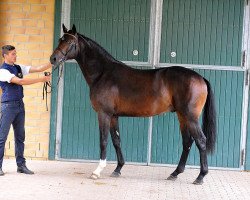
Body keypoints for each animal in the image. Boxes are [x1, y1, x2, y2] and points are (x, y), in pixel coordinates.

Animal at [49, 24, 216, 185]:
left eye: (70, 43)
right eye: (60, 40)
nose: (53, 58)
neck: (103, 73)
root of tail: (200, 77)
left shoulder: (104, 114)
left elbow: (103, 141)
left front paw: (97, 171)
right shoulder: (114, 116)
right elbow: (116, 141)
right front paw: (118, 169)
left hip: (190, 117)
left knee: (201, 141)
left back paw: (200, 176)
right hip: (182, 116)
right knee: (187, 141)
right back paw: (175, 173)